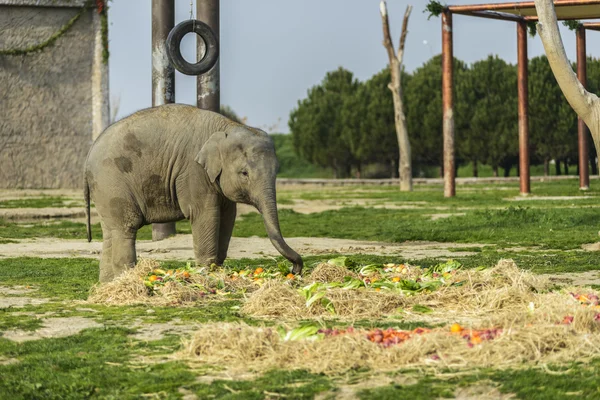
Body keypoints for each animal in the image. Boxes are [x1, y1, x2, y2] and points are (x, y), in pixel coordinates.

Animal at [82, 104, 302, 282]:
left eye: (277, 170)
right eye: (244, 173)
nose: (295, 269)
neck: (227, 127)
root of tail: (88, 155)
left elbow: (228, 216)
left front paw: (217, 269)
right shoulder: (193, 172)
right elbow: (205, 214)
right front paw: (207, 273)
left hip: (104, 189)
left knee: (111, 231)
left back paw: (107, 285)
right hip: (111, 181)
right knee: (126, 227)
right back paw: (126, 280)